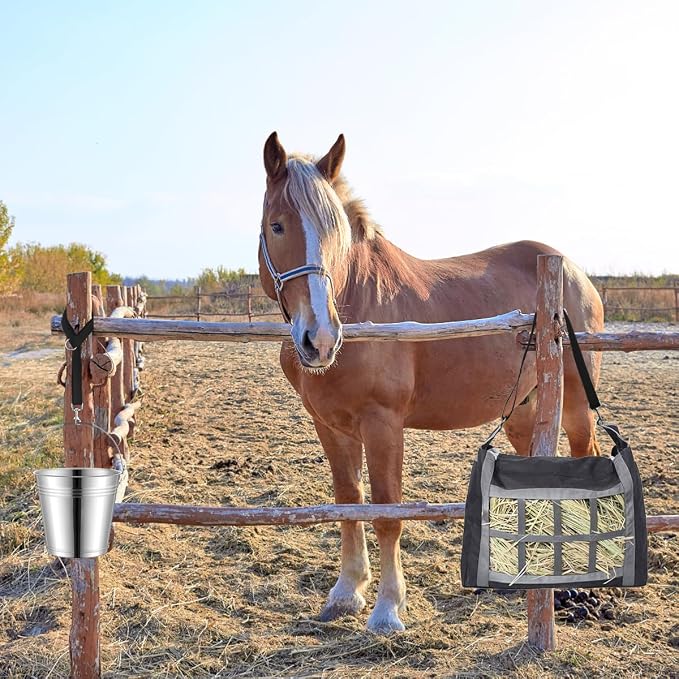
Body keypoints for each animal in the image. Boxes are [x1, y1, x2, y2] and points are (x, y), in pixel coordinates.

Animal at [257, 132, 604, 633]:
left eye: (335, 232)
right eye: (277, 226)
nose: (319, 338)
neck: (360, 302)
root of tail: (575, 274)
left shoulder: (382, 425)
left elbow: (387, 513)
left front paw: (387, 608)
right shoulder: (332, 426)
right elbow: (349, 501)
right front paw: (346, 592)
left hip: (575, 407)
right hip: (522, 411)